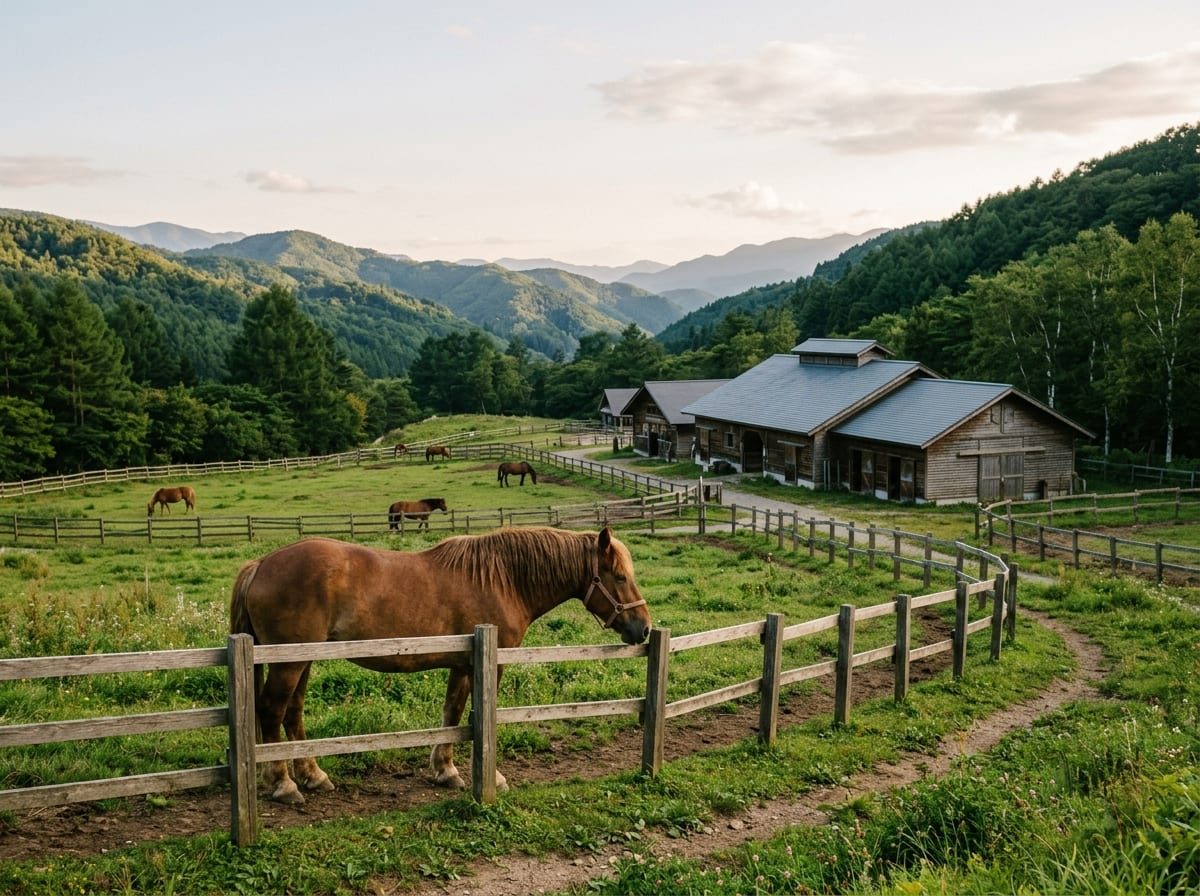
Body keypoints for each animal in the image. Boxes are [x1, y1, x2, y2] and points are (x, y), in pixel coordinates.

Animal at [230, 525, 652, 805]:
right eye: (619, 576)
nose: (644, 628)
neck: (503, 579)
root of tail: (260, 564)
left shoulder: (461, 664)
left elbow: (452, 712)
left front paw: (445, 770)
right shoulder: (487, 665)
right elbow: (477, 715)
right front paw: (489, 776)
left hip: (300, 660)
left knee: (293, 712)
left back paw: (313, 776)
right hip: (290, 663)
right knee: (272, 710)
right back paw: (284, 784)